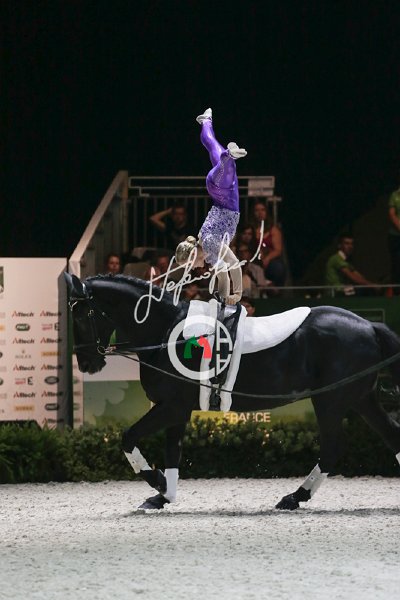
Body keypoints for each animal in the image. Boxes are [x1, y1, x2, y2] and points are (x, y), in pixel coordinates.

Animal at [65, 273, 400, 510]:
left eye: (80, 315)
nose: (87, 363)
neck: (166, 332)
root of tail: (369, 325)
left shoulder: (170, 407)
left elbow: (128, 437)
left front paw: (157, 483)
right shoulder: (176, 410)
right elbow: (173, 452)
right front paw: (165, 496)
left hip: (330, 401)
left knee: (332, 447)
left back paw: (294, 497)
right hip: (361, 399)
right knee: (390, 434)